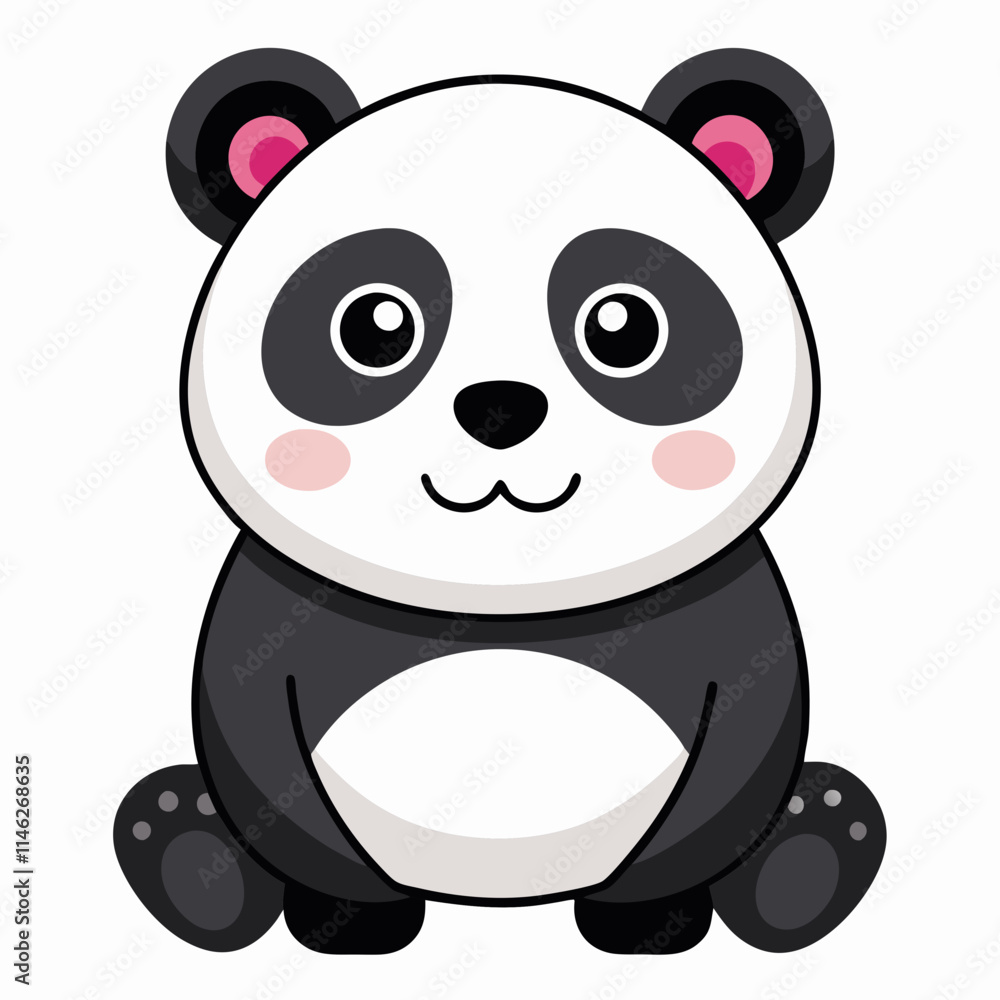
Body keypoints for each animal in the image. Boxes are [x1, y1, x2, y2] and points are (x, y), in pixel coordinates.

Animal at [114, 46, 886, 955]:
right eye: (374, 326)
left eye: (624, 326)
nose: (501, 407)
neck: (499, 603)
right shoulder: (277, 610)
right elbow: (266, 759)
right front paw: (351, 922)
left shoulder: (725, 612)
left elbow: (733, 762)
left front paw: (649, 919)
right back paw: (182, 846)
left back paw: (815, 848)